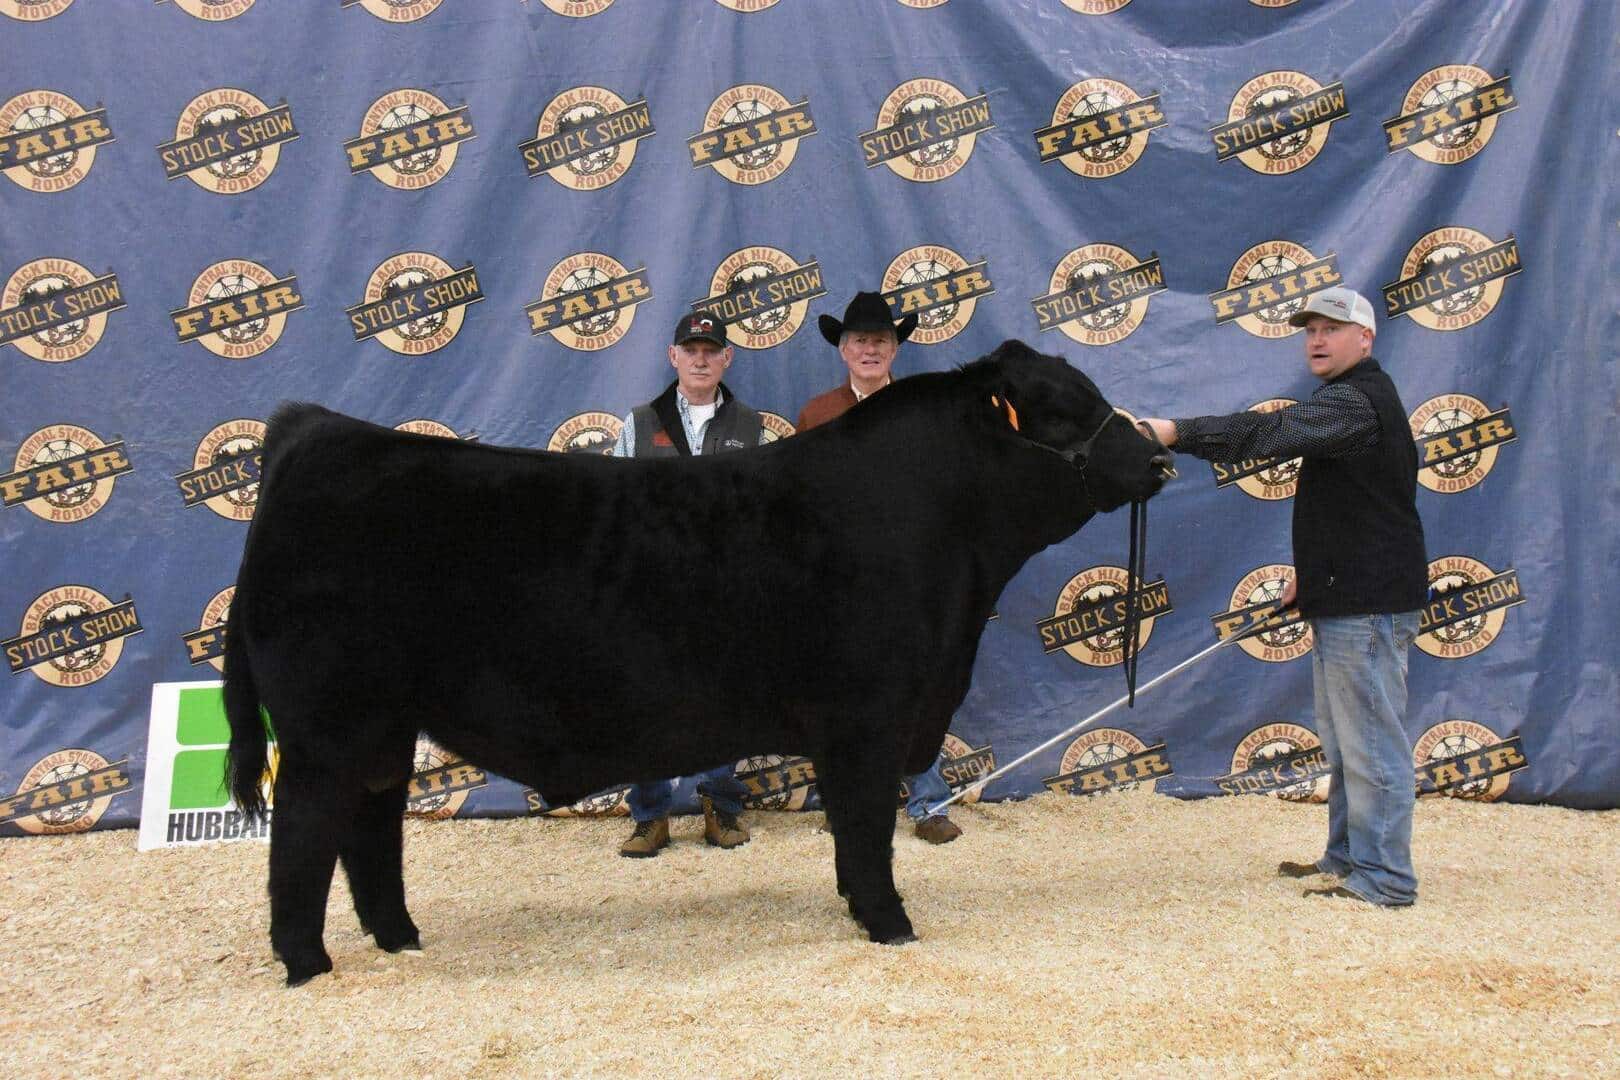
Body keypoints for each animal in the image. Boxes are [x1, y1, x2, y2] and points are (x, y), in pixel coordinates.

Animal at [222, 338, 1173, 985]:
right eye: (1061, 408)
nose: (1161, 455)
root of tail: (319, 433)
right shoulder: (867, 716)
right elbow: (866, 827)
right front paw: (887, 920)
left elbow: (855, 830)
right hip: (327, 725)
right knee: (305, 833)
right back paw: (307, 962)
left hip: (382, 726)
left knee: (371, 827)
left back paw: (400, 936)